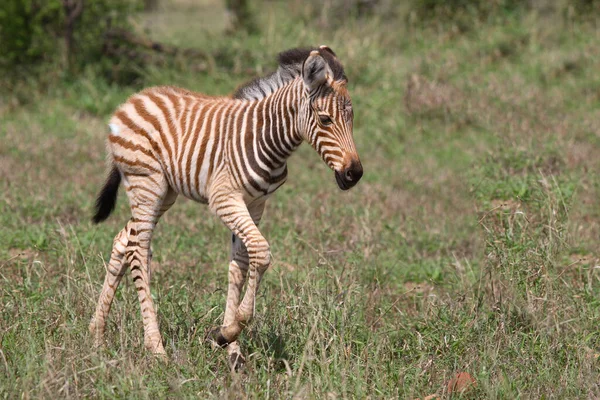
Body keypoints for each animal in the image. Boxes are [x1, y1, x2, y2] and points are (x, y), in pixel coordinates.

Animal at [88, 44, 360, 368]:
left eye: (352, 119)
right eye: (325, 120)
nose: (354, 174)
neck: (268, 139)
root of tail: (132, 99)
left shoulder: (255, 204)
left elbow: (240, 264)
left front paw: (231, 345)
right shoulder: (224, 199)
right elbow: (261, 253)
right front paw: (228, 332)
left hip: (165, 192)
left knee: (123, 240)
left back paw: (97, 335)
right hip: (146, 184)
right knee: (139, 251)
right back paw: (155, 347)